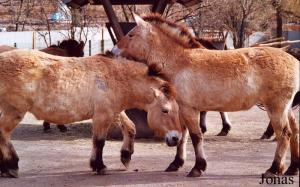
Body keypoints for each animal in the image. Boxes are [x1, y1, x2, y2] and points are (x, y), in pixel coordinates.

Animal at [0, 49, 182, 178]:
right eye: (165, 110)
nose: (176, 138)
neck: (116, 77)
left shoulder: (114, 111)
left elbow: (130, 127)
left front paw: (126, 156)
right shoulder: (103, 115)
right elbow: (99, 141)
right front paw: (99, 166)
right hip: (14, 111)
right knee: (3, 133)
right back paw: (11, 166)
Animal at [111, 13, 298, 178]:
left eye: (130, 35)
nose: (113, 52)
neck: (180, 62)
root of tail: (295, 61)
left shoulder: (189, 109)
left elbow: (196, 136)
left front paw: (198, 167)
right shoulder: (181, 109)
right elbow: (183, 136)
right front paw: (176, 163)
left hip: (276, 107)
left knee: (284, 134)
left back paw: (274, 169)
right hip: (285, 108)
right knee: (295, 131)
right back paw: (292, 169)